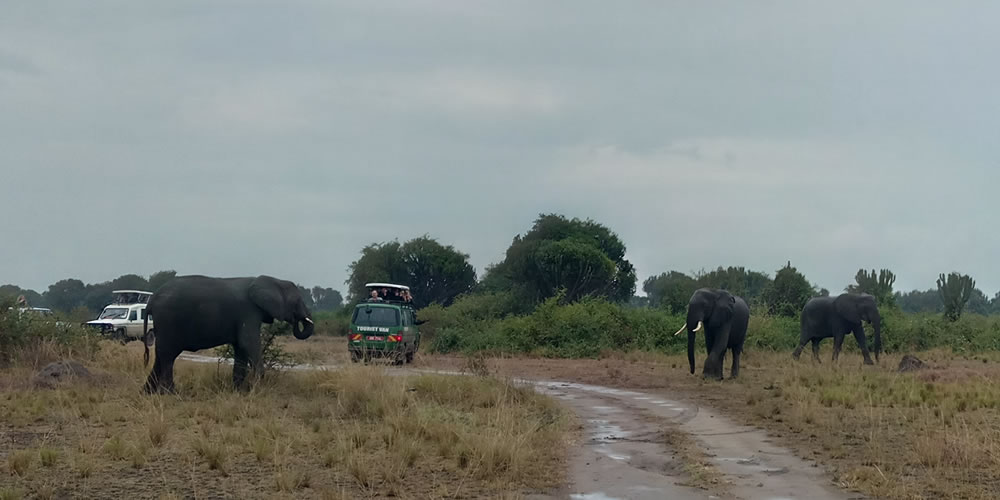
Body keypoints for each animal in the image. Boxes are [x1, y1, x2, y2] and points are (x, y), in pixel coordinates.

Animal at [142, 275, 314, 393]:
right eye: (297, 301)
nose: (299, 320)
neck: (272, 280)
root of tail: (151, 301)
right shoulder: (248, 312)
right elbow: (248, 342)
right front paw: (257, 387)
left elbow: (241, 348)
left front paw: (239, 392)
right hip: (168, 320)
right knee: (168, 356)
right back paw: (171, 394)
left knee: (161, 356)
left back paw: (148, 393)